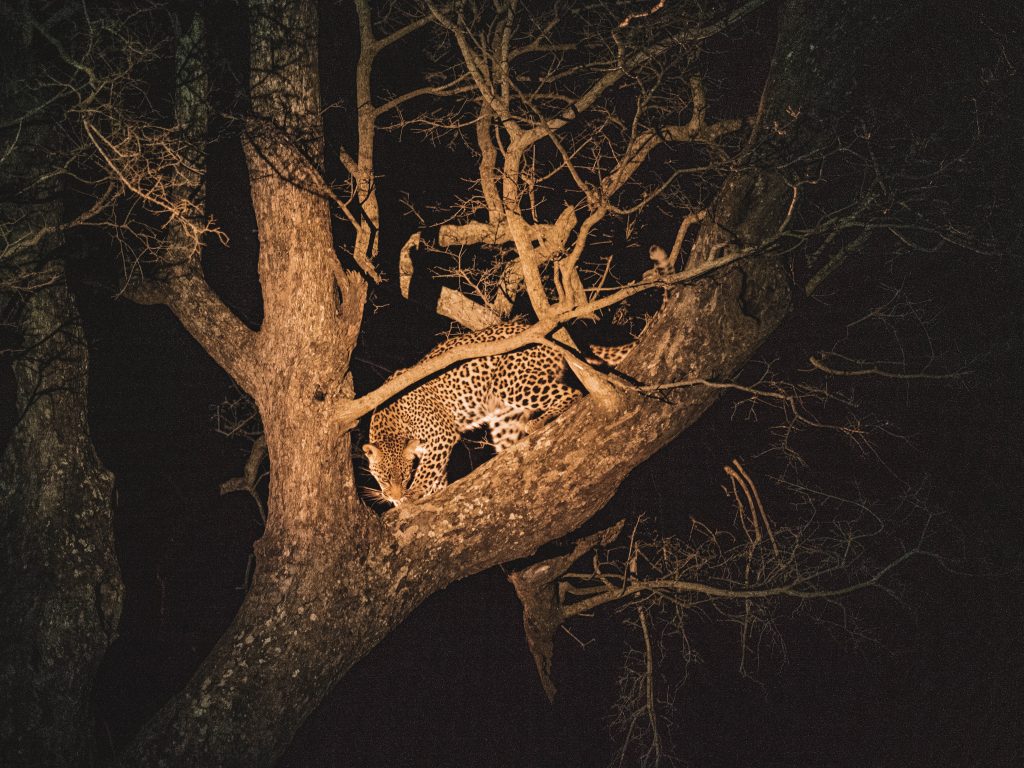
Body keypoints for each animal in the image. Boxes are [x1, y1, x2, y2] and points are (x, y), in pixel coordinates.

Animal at [361, 322, 638, 505]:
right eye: (384, 477)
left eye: (403, 475)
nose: (394, 496)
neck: (394, 420)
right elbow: (435, 474)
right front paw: (429, 493)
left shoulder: (441, 435)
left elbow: (428, 470)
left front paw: (414, 493)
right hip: (503, 415)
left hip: (510, 383)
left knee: (571, 392)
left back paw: (540, 421)